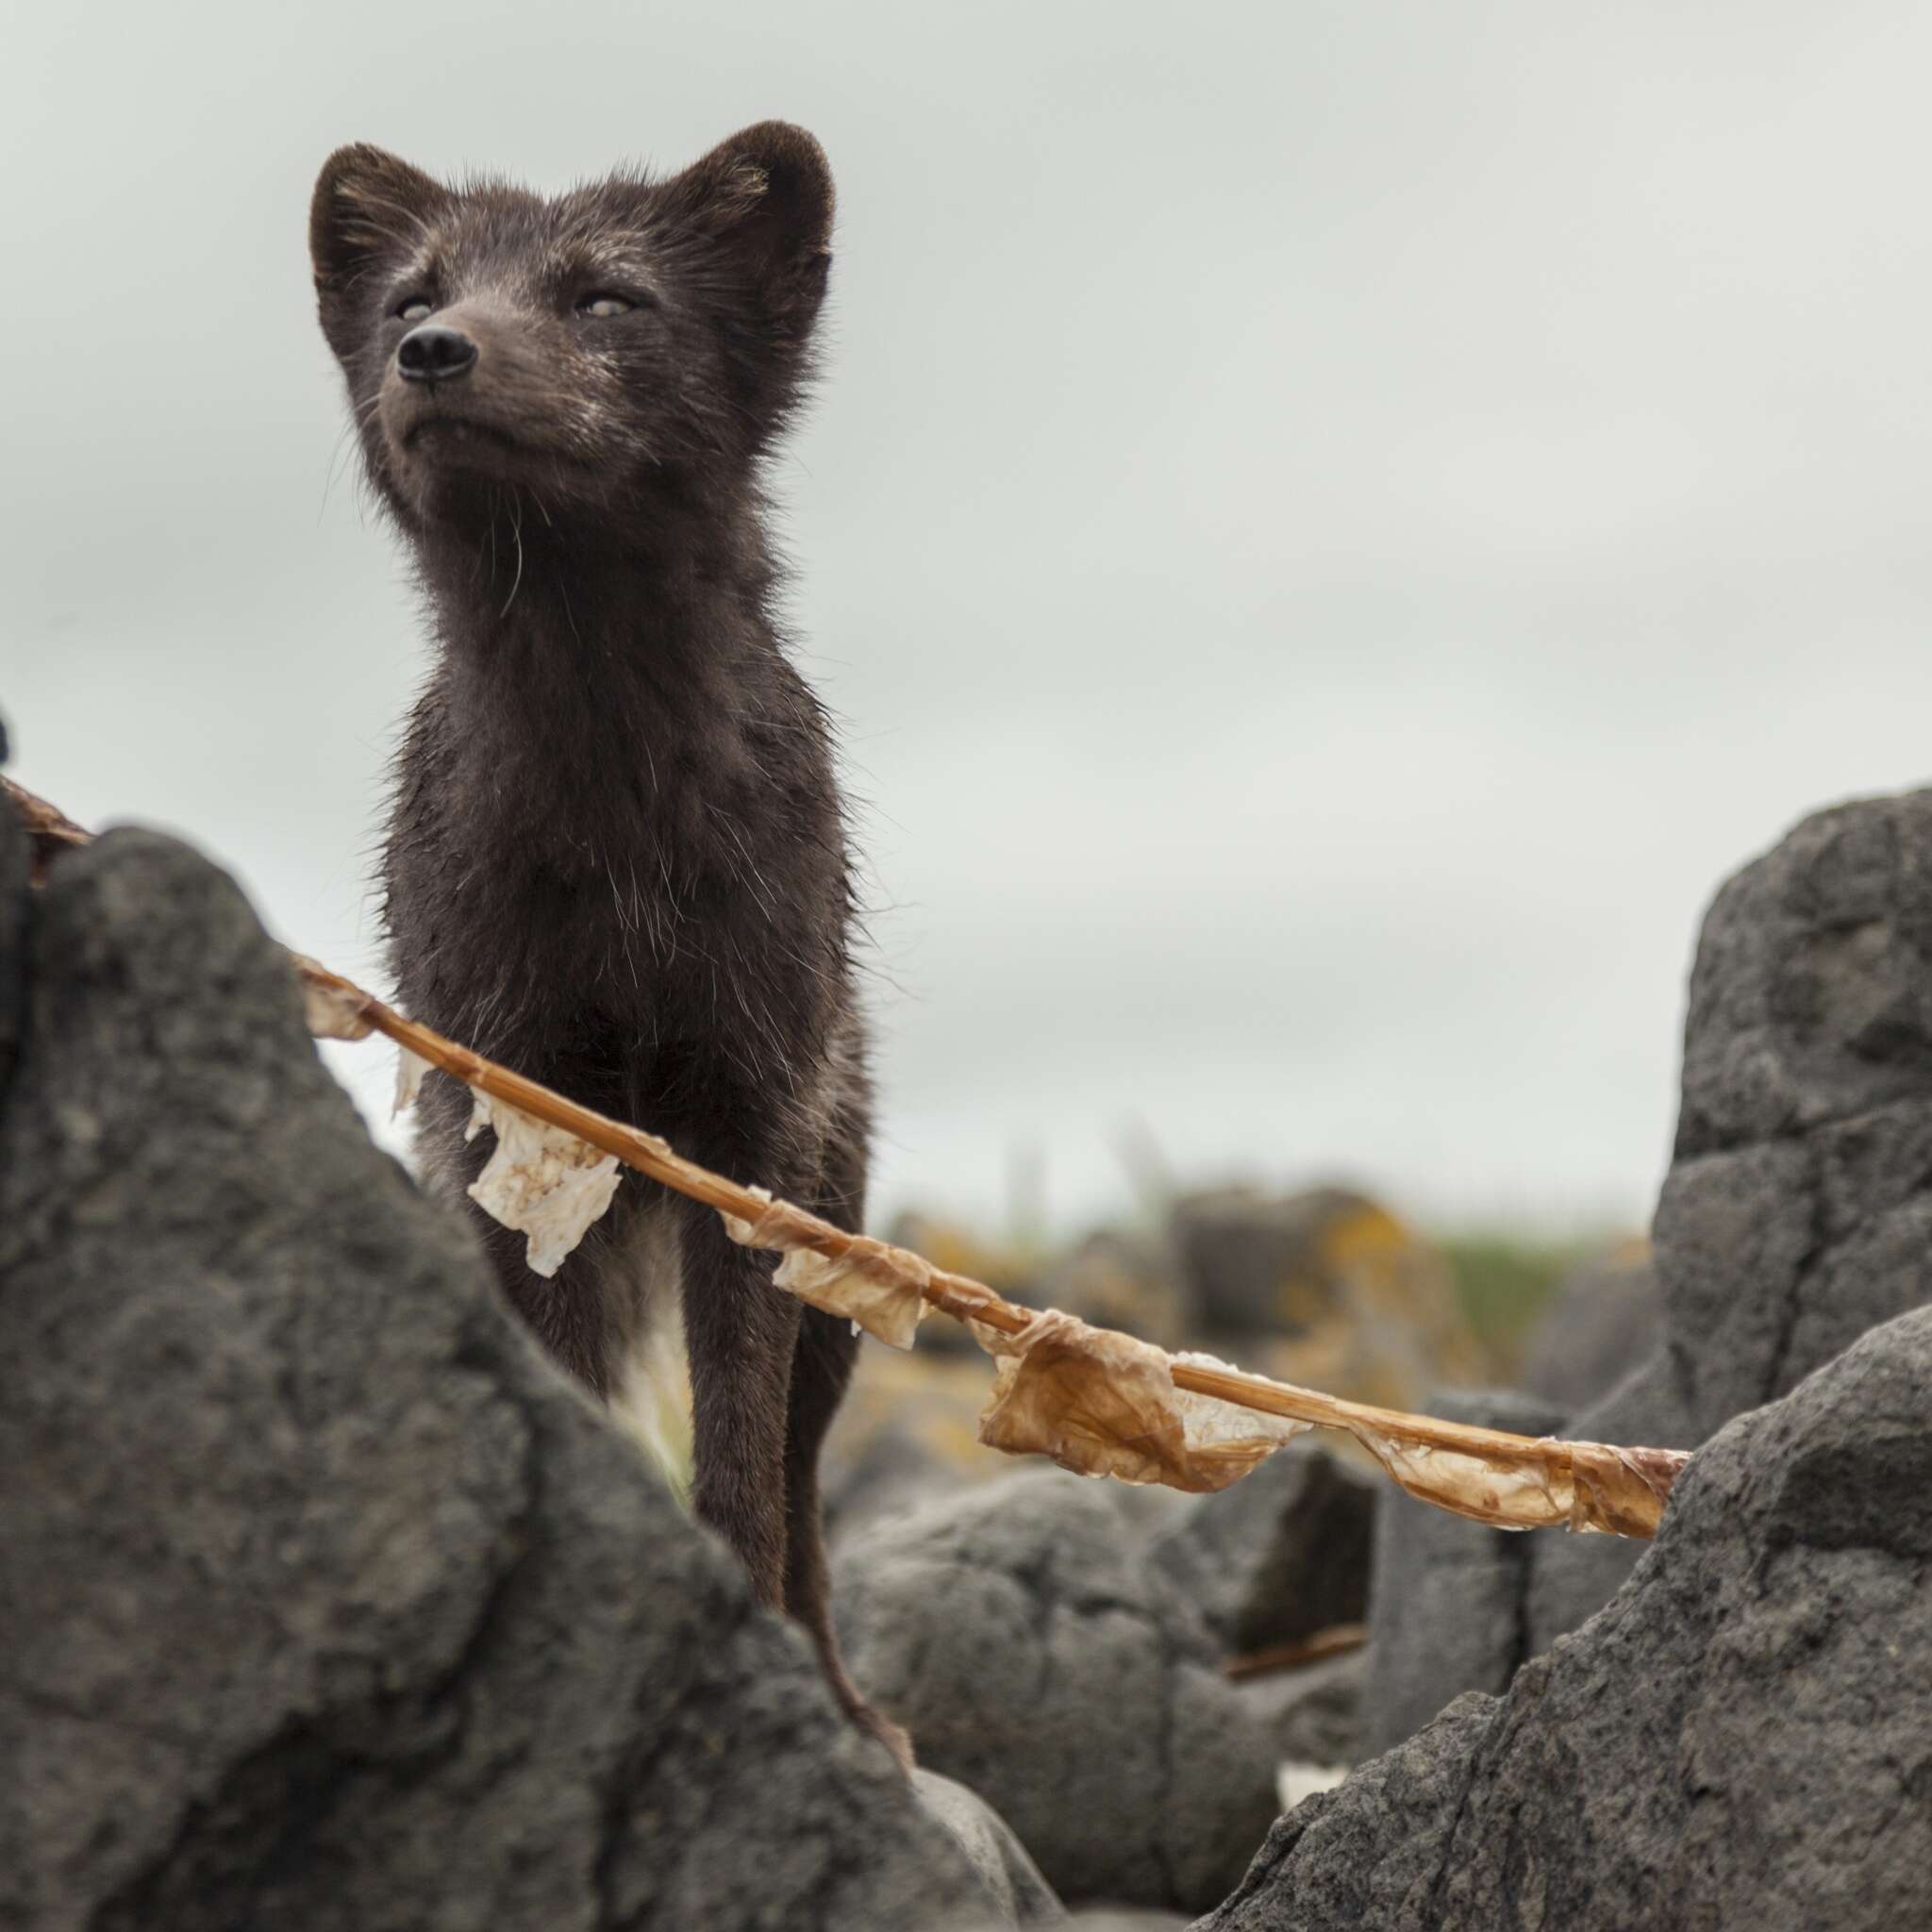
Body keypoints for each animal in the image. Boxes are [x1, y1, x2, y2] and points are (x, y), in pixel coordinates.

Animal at [305, 121, 900, 1769]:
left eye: (608, 299)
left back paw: (853, 1707)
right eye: (412, 297)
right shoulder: (510, 1095)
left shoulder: (749, 1115)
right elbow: (568, 1387)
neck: (610, 799)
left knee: (811, 1485)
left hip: (843, 1237)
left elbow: (743, 1462)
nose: (436, 353)